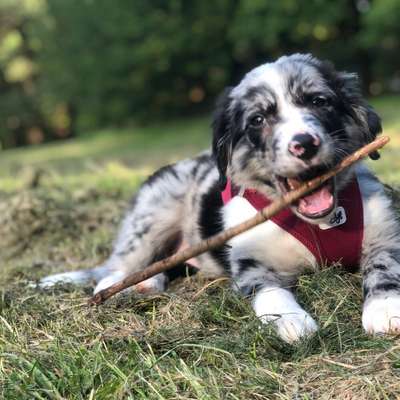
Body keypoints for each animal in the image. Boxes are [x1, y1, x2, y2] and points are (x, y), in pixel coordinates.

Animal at [39, 54, 400, 344]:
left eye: (319, 102)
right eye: (258, 120)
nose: (304, 144)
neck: (318, 225)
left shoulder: (386, 234)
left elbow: (385, 266)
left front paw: (385, 308)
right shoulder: (250, 262)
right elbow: (271, 292)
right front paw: (291, 321)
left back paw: (147, 283)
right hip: (153, 215)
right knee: (120, 265)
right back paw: (121, 284)